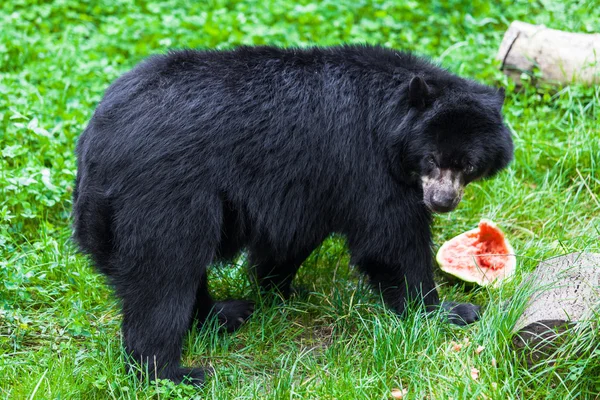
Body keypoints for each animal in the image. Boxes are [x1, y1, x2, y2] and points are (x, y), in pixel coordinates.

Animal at [69, 45, 510, 386]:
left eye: (469, 165)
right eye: (431, 159)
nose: (441, 201)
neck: (393, 123)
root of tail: (96, 141)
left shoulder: (309, 186)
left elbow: (289, 238)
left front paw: (279, 288)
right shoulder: (366, 165)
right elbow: (390, 241)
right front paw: (448, 311)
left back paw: (224, 313)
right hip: (165, 193)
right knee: (163, 274)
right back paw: (174, 373)